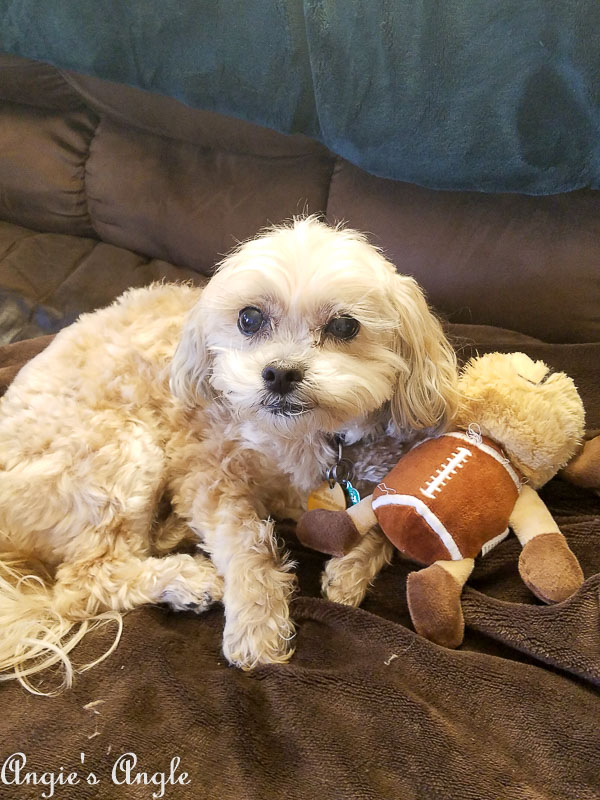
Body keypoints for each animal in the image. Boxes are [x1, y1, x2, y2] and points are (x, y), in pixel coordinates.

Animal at [0, 216, 458, 692]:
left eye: (345, 326)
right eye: (249, 318)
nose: (280, 373)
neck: (304, 438)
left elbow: (391, 521)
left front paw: (349, 574)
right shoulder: (207, 473)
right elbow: (247, 543)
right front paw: (257, 626)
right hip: (121, 453)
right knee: (83, 582)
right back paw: (188, 580)